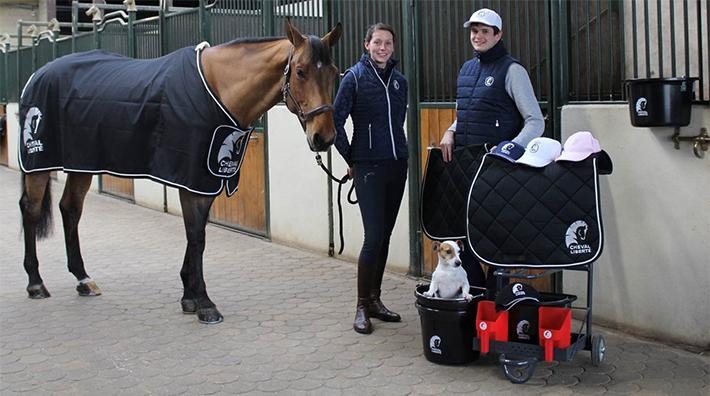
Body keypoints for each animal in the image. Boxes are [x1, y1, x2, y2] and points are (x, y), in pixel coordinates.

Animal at [15, 19, 340, 324]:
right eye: (300, 71)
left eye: (334, 72)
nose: (324, 137)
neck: (218, 89)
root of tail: (37, 74)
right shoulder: (191, 178)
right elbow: (196, 236)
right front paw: (205, 303)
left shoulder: (205, 180)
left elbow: (197, 232)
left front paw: (189, 296)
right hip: (38, 165)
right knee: (31, 210)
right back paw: (35, 283)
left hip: (82, 164)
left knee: (70, 209)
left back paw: (83, 279)